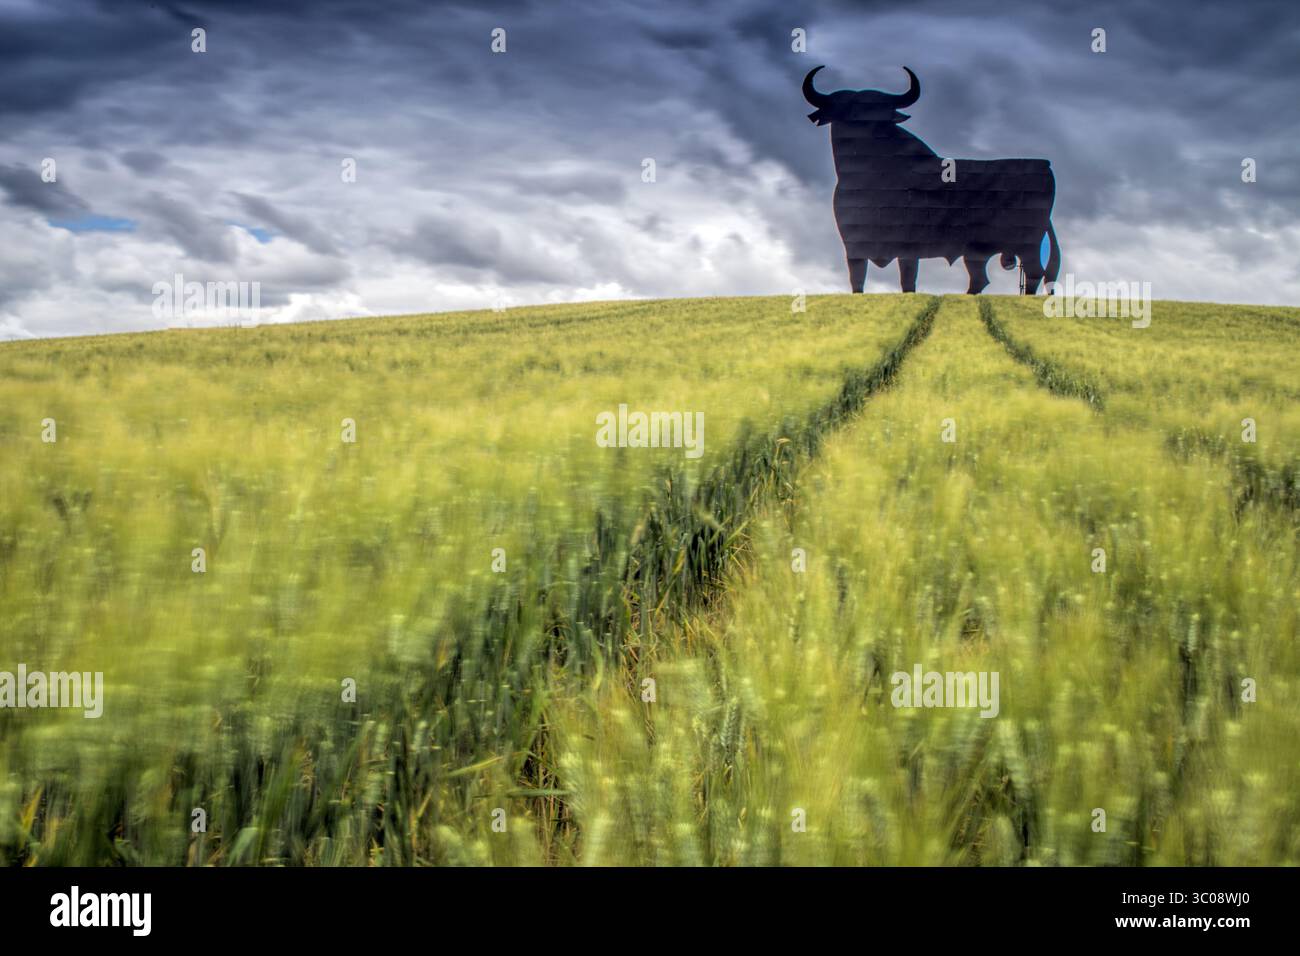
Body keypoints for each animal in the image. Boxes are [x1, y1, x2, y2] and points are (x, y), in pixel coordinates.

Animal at [803, 65, 1061, 295]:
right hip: (977, 251)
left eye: (881, 113)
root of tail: (1045, 165)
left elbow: (907, 279)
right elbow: (857, 279)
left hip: (1027, 243)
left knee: (1034, 272)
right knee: (981, 277)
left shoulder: (908, 247)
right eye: (848, 109)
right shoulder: (853, 245)